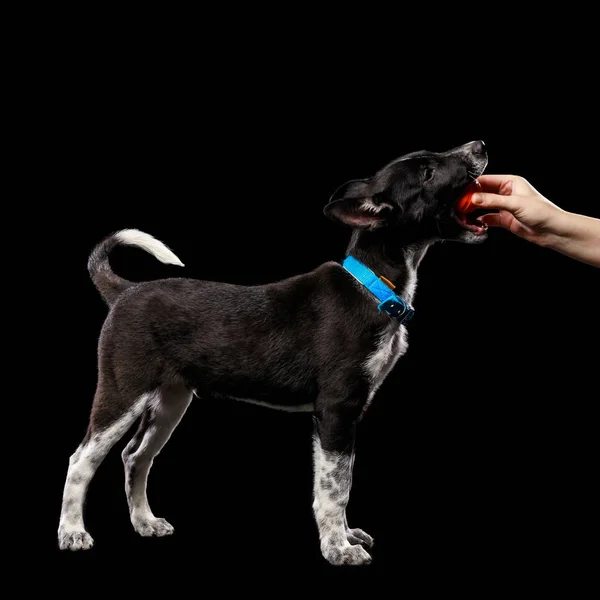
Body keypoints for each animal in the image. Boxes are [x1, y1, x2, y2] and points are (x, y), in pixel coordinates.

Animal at [57, 139, 488, 564]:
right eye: (427, 172)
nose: (479, 145)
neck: (374, 286)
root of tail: (123, 292)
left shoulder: (347, 413)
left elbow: (342, 481)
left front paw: (347, 536)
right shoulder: (336, 409)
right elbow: (335, 487)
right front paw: (338, 548)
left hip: (171, 399)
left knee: (136, 456)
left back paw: (145, 522)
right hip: (122, 390)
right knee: (81, 460)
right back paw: (73, 532)